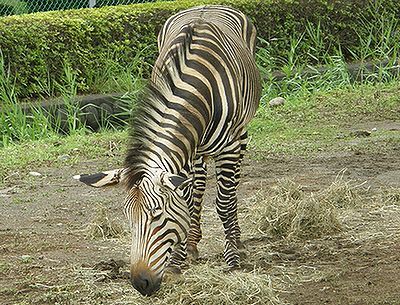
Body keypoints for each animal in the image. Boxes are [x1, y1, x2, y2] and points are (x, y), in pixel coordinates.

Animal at [74, 4, 262, 294]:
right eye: (129, 219)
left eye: (157, 215)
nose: (140, 283)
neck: (194, 88)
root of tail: (207, 5)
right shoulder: (182, 153)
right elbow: (187, 199)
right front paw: (177, 263)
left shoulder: (228, 146)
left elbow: (223, 201)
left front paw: (232, 259)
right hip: (196, 151)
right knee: (198, 186)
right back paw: (193, 243)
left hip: (240, 135)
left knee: (230, 190)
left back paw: (237, 243)